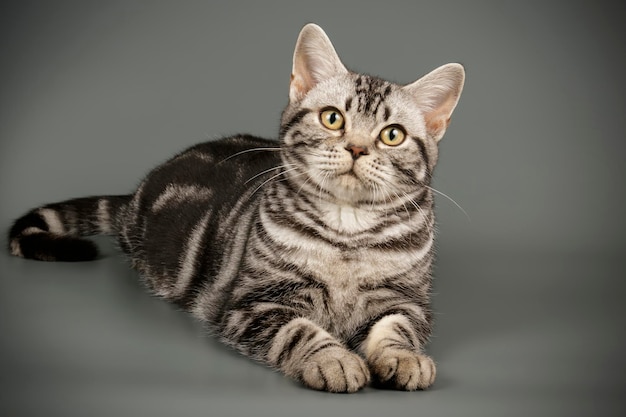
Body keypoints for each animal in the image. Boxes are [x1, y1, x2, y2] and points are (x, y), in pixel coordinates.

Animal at [6, 24, 464, 392]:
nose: (356, 148)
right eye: (333, 118)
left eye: (392, 135)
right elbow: (299, 331)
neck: (347, 233)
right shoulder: (255, 303)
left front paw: (403, 358)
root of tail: (136, 193)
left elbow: (396, 328)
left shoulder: (406, 300)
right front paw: (333, 358)